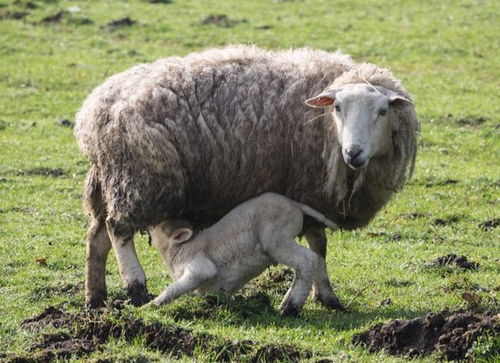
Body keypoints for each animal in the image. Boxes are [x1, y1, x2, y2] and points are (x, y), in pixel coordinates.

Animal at [145, 193, 340, 316]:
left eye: (161, 227)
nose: (149, 223)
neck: (177, 251)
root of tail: (293, 204)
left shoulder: (198, 266)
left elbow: (173, 288)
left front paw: (149, 305)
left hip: (276, 239)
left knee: (308, 260)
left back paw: (290, 307)